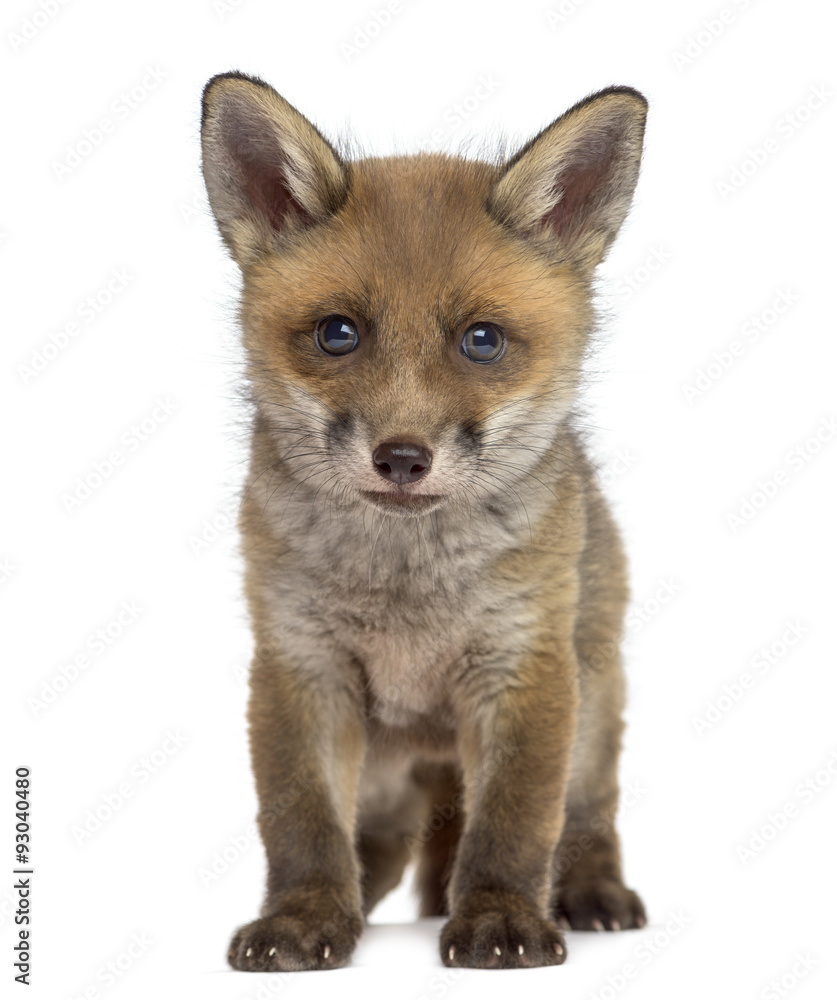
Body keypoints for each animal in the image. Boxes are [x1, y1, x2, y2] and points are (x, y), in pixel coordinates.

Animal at [200, 71, 648, 972]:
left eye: (481, 341)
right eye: (338, 333)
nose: (402, 458)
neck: (407, 590)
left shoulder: (524, 666)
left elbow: (513, 826)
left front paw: (502, 919)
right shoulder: (299, 666)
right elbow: (301, 823)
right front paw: (302, 918)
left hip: (591, 701)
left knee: (582, 815)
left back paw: (587, 891)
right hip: (383, 770)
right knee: (383, 845)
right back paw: (368, 909)